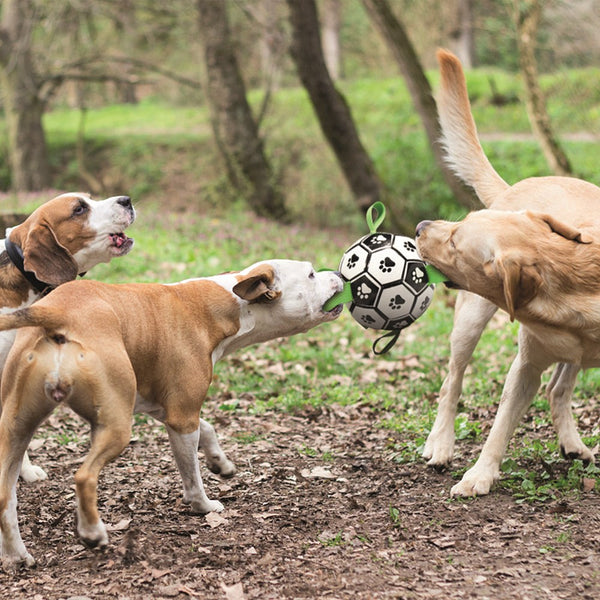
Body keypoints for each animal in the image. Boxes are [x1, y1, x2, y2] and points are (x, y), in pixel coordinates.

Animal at [0, 262, 342, 568]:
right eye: (311, 274)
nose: (338, 274)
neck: (224, 304)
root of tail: (57, 313)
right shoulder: (181, 419)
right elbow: (192, 476)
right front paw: (204, 506)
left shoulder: (167, 408)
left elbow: (208, 428)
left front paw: (220, 462)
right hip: (115, 426)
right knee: (84, 476)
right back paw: (93, 533)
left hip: (17, 427)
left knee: (6, 495)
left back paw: (18, 556)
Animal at [414, 49, 600, 496]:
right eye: (460, 223)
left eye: (455, 240)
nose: (420, 227)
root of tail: (515, 187)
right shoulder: (525, 366)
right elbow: (499, 427)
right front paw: (479, 476)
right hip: (468, 321)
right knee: (451, 382)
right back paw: (440, 444)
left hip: (573, 356)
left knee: (558, 388)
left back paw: (572, 443)